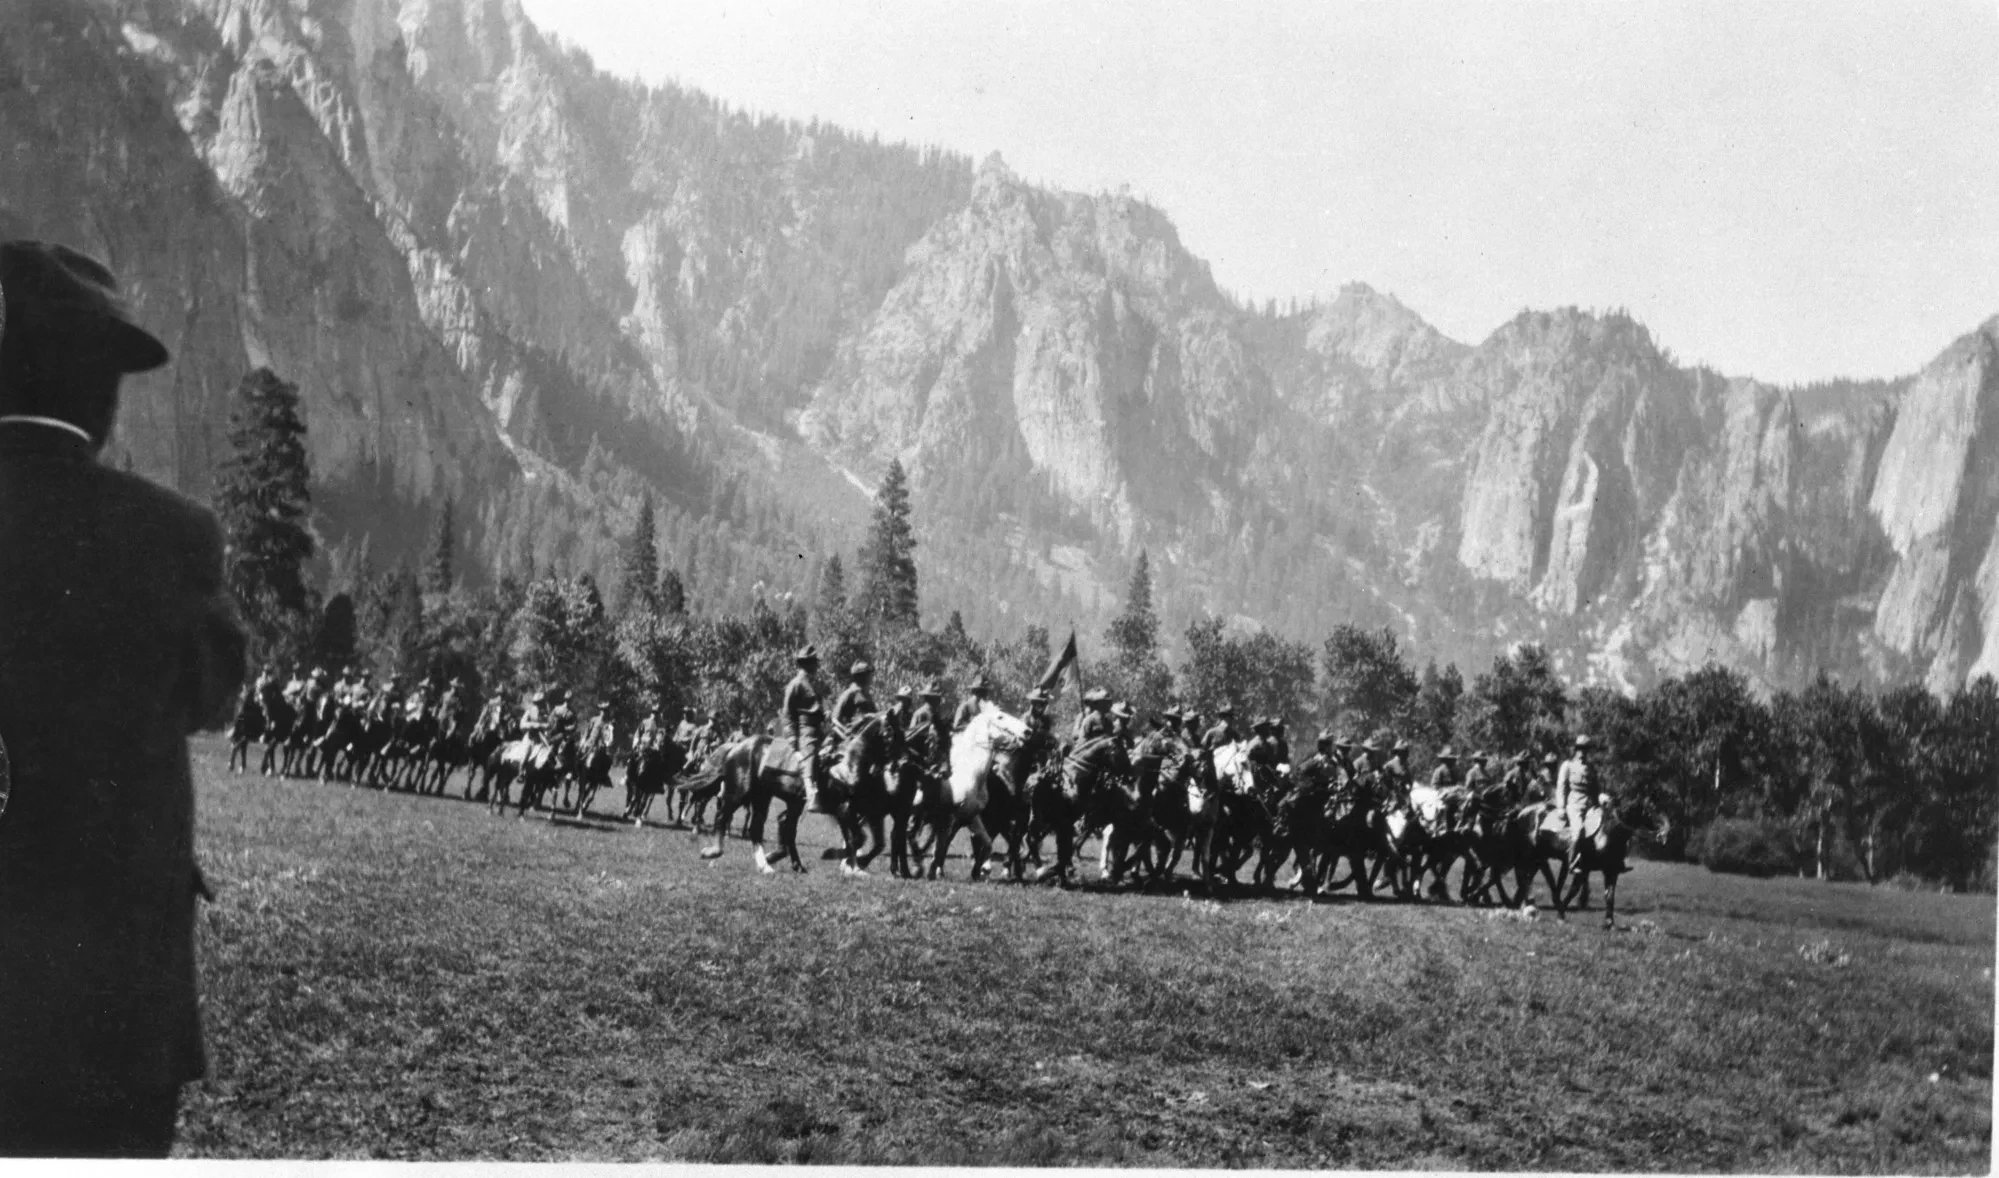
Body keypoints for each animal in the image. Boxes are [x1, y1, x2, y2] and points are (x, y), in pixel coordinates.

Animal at [923, 704, 1031, 876]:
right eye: (1000, 717)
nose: (1027, 731)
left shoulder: (971, 817)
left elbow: (987, 844)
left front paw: (979, 870)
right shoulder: (952, 819)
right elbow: (941, 847)